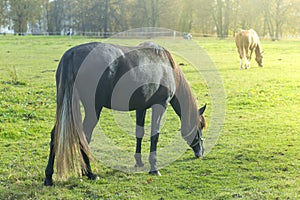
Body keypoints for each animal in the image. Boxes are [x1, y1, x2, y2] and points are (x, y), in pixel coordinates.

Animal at [43, 41, 206, 186]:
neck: (167, 66)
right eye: (200, 127)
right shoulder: (160, 105)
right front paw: (154, 168)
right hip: (93, 109)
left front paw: (139, 162)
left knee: (55, 135)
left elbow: (139, 133)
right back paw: (89, 173)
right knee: (84, 136)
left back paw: (49, 177)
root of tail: (71, 54)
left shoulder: (141, 107)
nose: (200, 152)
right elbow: (155, 135)